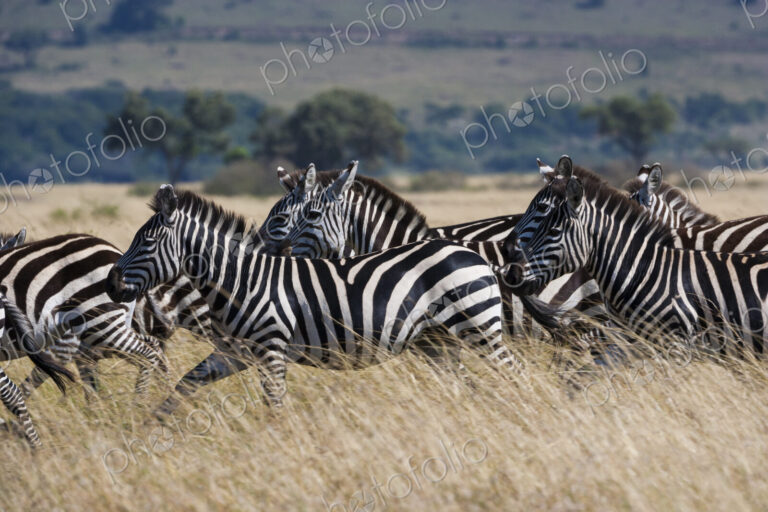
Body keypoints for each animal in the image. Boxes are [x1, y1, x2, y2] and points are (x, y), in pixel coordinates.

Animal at [106, 185, 521, 415]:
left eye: (147, 242)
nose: (110, 284)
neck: (242, 281)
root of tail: (474, 254)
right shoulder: (234, 352)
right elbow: (184, 386)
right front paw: (147, 427)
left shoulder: (271, 348)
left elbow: (275, 404)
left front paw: (278, 444)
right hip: (439, 342)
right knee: (467, 385)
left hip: (478, 325)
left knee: (514, 372)